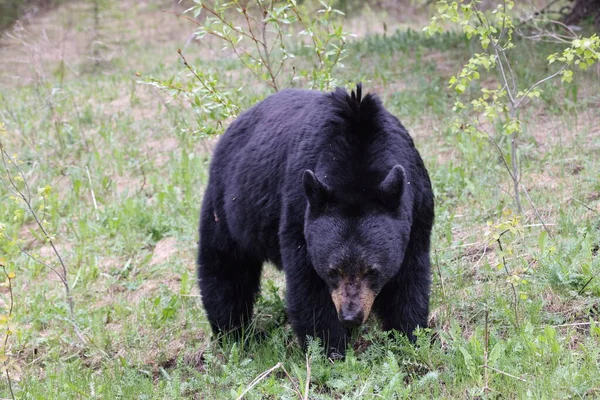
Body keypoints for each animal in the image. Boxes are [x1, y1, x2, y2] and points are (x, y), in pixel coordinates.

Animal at [199, 83, 434, 354]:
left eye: (372, 271)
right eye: (333, 271)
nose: (351, 316)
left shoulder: (417, 208)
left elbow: (409, 276)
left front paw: (409, 337)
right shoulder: (299, 210)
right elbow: (309, 285)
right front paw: (329, 347)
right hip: (229, 203)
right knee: (225, 265)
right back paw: (233, 333)